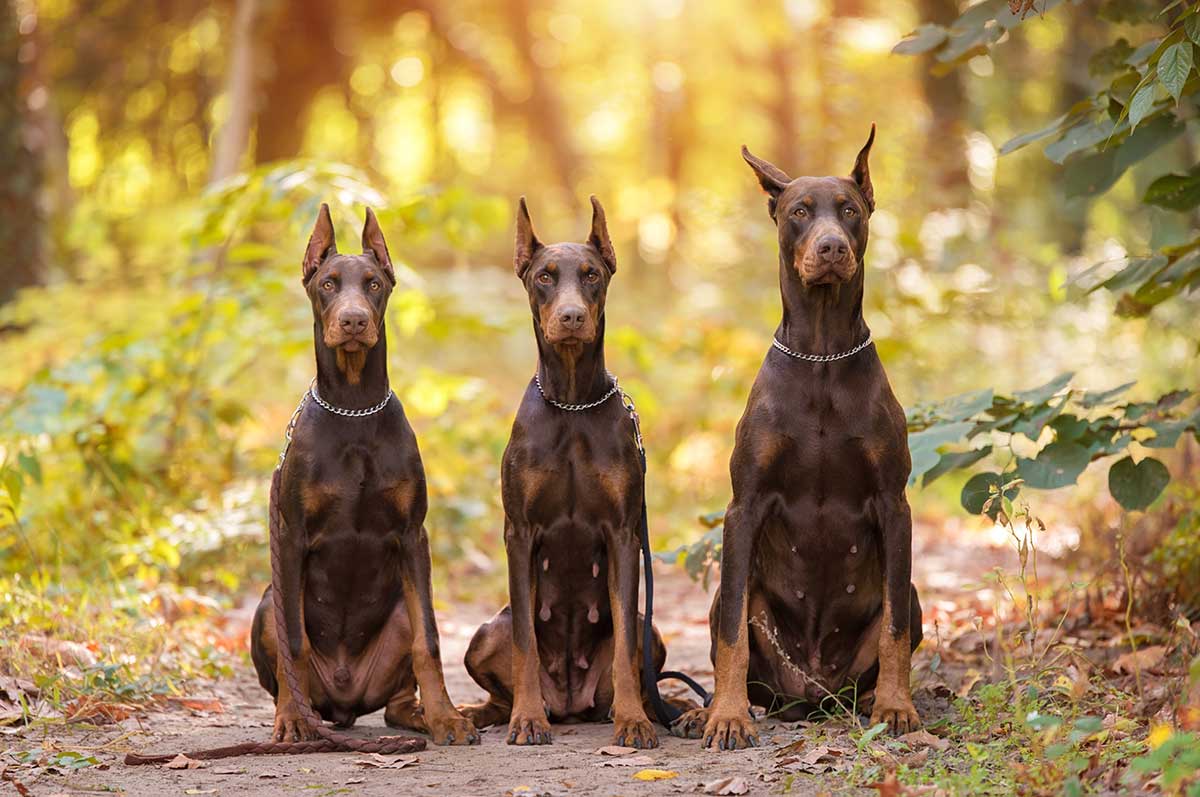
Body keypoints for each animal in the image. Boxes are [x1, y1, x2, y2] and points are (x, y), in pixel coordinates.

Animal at [248, 204, 477, 748]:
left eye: (373, 283)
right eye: (329, 283)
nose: (352, 320)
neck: (354, 407)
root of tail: (345, 702)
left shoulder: (413, 535)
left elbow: (430, 640)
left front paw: (447, 718)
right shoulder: (290, 536)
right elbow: (293, 642)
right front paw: (291, 721)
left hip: (397, 614)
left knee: (397, 695)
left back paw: (420, 716)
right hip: (267, 601)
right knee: (287, 651)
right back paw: (298, 713)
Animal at [456, 195, 672, 748]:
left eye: (592, 274)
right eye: (544, 277)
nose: (572, 317)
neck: (573, 404)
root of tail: (571, 701)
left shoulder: (623, 533)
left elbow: (625, 649)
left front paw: (633, 721)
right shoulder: (519, 532)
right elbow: (526, 644)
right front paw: (528, 719)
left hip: (654, 632)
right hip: (484, 633)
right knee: (501, 680)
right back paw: (478, 713)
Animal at [676, 129, 926, 748]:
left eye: (850, 211)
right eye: (799, 212)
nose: (832, 248)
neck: (821, 356)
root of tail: (813, 695)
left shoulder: (894, 503)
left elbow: (893, 632)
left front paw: (897, 706)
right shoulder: (743, 507)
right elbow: (731, 639)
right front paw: (727, 716)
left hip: (906, 597)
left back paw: (871, 701)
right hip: (733, 604)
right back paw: (704, 711)